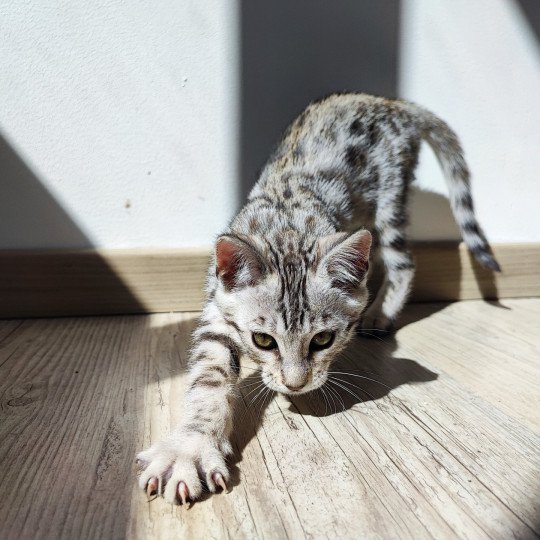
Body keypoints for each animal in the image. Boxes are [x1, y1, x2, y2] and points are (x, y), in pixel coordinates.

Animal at [137, 92, 500, 502]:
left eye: (323, 339)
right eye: (263, 340)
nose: (296, 384)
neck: (287, 228)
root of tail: (393, 104)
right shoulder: (218, 305)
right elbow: (209, 374)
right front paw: (191, 446)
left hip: (390, 194)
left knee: (402, 259)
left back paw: (381, 312)